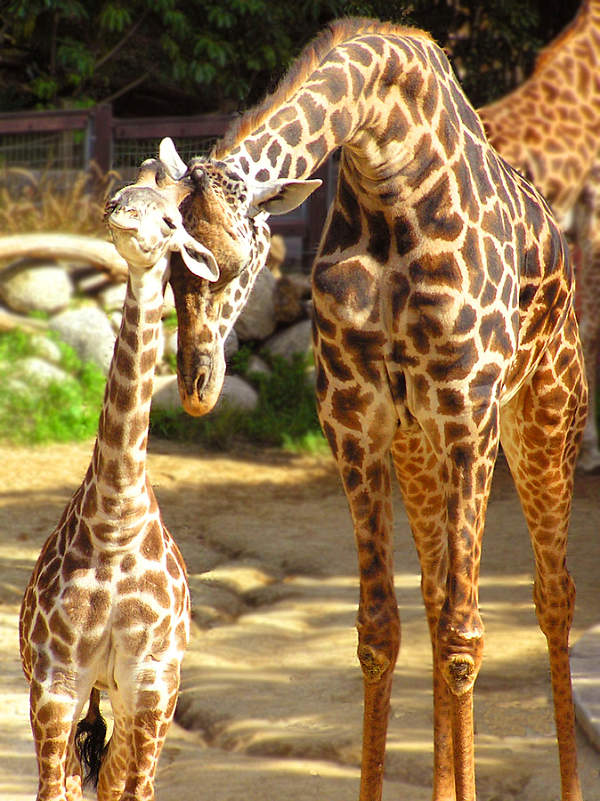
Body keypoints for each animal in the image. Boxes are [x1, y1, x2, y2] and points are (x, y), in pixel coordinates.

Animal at [19, 150, 220, 800]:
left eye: (171, 220)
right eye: (123, 192)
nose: (118, 213)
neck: (114, 523)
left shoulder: (151, 682)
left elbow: (136, 790)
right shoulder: (56, 679)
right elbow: (54, 790)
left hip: (139, 698)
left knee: (116, 782)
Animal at [144, 17, 584, 800]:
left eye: (234, 264)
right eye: (168, 268)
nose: (196, 385)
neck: (389, 172)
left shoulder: (468, 411)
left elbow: (468, 634)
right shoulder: (354, 416)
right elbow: (380, 630)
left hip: (544, 413)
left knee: (550, 594)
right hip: (420, 447)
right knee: (436, 597)